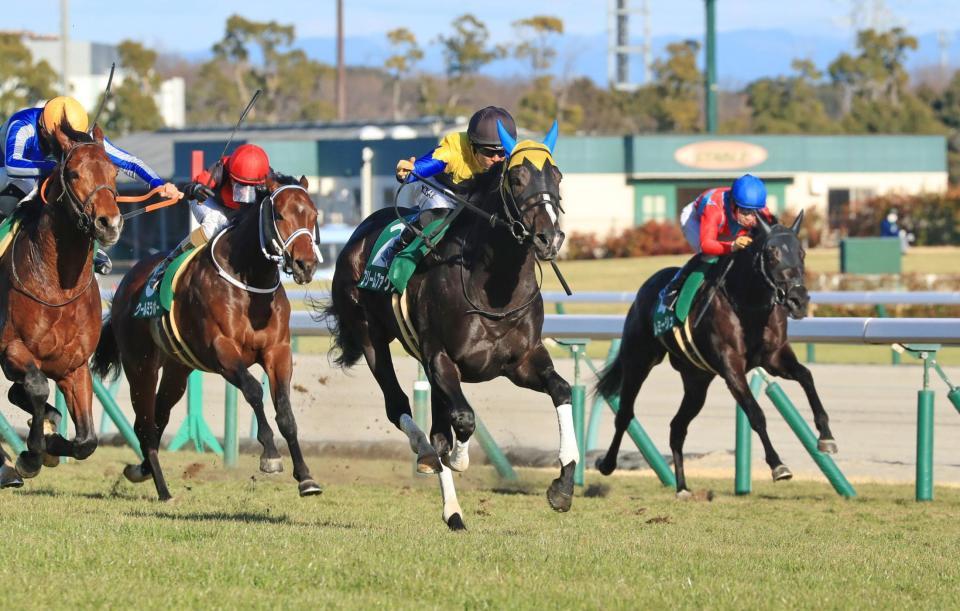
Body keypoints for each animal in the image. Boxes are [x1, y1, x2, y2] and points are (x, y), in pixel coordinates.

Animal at [0, 123, 124, 488]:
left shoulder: (75, 366)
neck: (56, 287)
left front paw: (51, 443)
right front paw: (31, 454)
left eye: (113, 171)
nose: (109, 223)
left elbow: (87, 441)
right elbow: (38, 386)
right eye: (73, 173)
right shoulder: (12, 349)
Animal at [94, 173, 326, 502]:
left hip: (177, 369)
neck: (249, 284)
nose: (306, 265)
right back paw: (163, 489)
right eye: (280, 215)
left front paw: (306, 478)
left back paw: (142, 469)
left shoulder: (278, 352)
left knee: (159, 416)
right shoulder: (222, 351)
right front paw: (270, 454)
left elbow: (284, 411)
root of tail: (126, 284)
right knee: (144, 424)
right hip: (140, 366)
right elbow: (253, 391)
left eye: (313, 214)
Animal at [322, 125, 576, 532]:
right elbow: (464, 420)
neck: (494, 291)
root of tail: (359, 231)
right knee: (401, 408)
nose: (549, 239)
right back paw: (438, 479)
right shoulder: (442, 359)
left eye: (557, 176)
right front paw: (458, 459)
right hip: (370, 335)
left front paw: (563, 487)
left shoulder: (521, 362)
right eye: (517, 178)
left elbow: (562, 390)